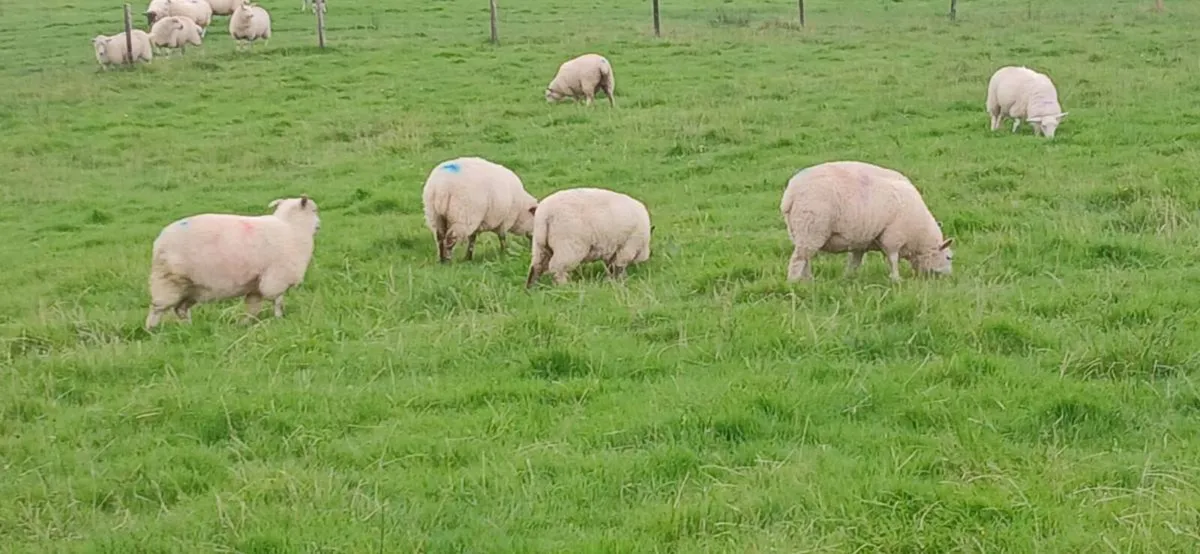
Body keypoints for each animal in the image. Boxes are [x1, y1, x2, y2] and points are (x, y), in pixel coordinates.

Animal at [144, 195, 321, 330]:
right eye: (314, 210)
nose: (319, 225)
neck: (292, 227)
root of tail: (159, 241)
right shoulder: (277, 278)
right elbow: (277, 301)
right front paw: (279, 319)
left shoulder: (256, 284)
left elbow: (253, 307)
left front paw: (246, 323)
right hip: (168, 281)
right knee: (157, 308)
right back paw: (152, 330)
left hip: (191, 287)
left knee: (180, 309)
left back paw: (189, 328)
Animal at [780, 161, 954, 283]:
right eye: (948, 258)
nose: (948, 278)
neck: (919, 238)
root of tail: (791, 193)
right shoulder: (893, 236)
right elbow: (893, 259)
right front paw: (896, 279)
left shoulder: (861, 242)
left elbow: (855, 262)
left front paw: (848, 277)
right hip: (811, 228)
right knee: (798, 260)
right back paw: (795, 283)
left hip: (802, 233)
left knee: (806, 259)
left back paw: (808, 280)